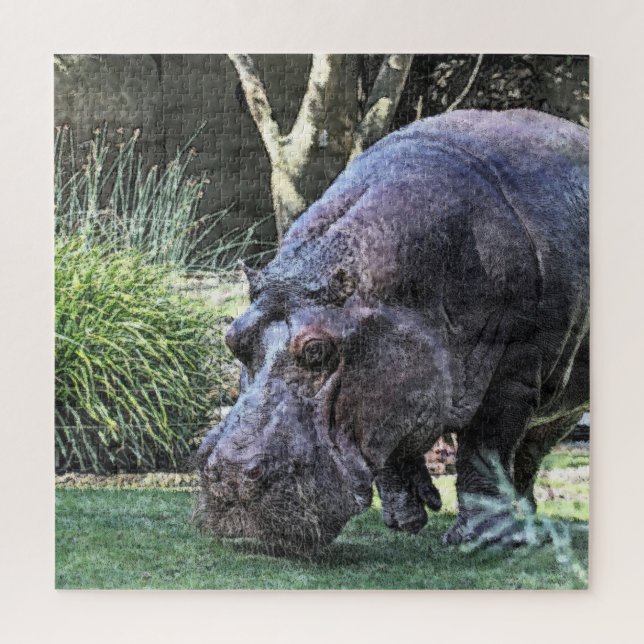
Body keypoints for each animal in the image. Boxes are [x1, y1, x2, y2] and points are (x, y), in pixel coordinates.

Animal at [195, 109, 589, 556]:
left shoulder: (514, 376)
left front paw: (480, 541)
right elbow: (390, 432)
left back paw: (521, 532)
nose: (229, 476)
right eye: (233, 338)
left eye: (316, 349)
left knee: (526, 454)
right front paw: (407, 518)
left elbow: (485, 450)